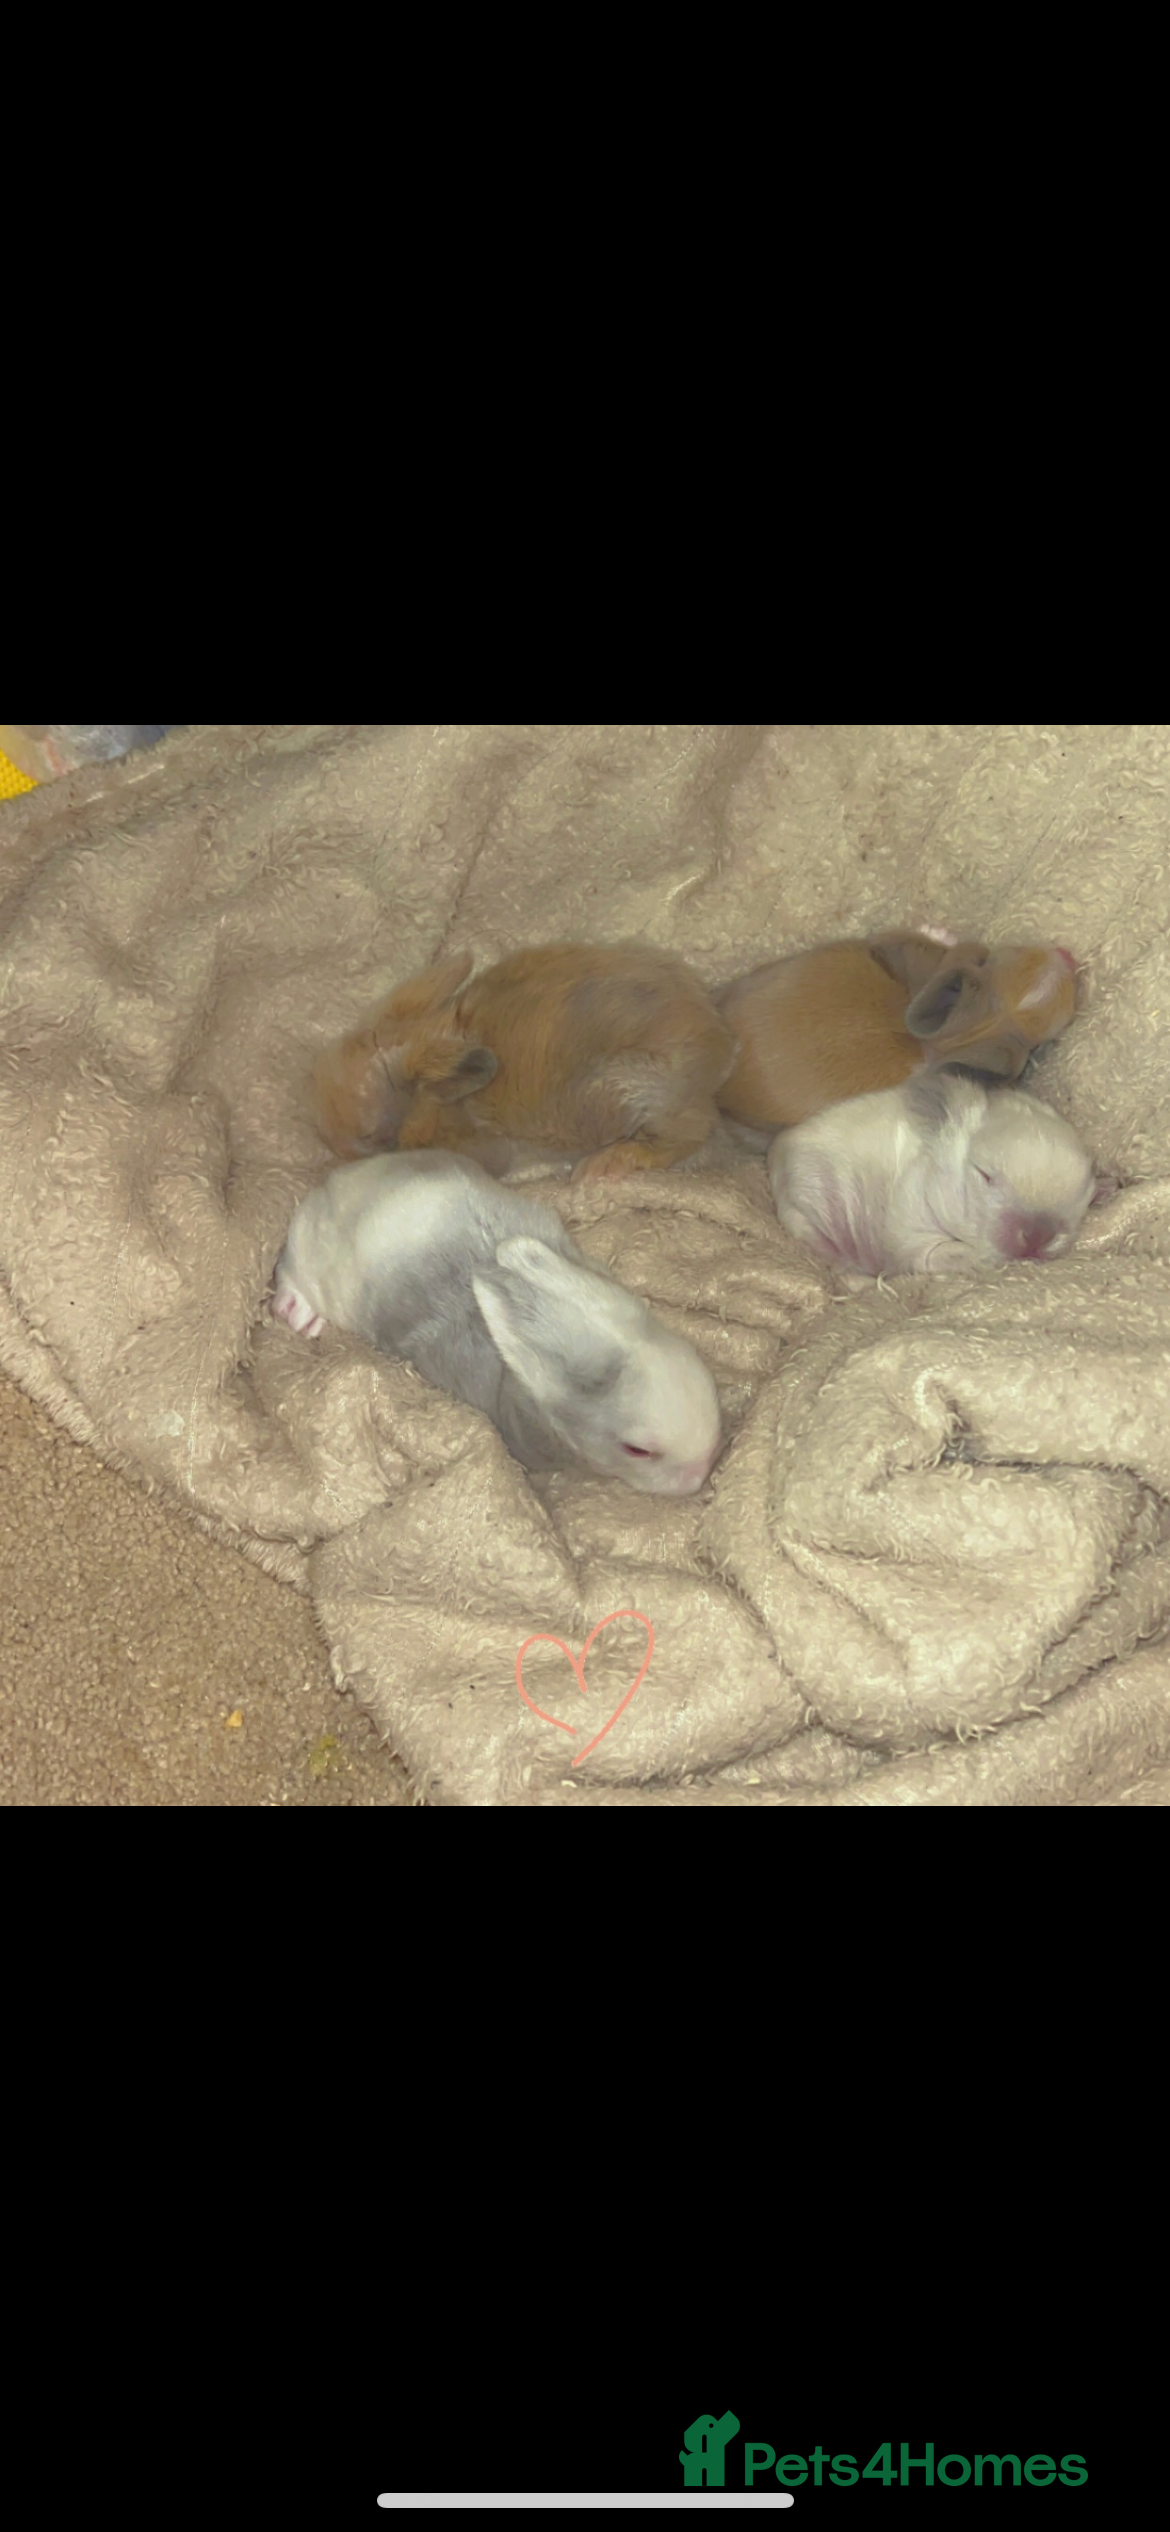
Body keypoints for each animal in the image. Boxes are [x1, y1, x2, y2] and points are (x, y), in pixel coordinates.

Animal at [270, 1148, 723, 1494]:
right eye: (637, 1450)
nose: (701, 1474)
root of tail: (333, 1182)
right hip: (313, 1262)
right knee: (291, 1275)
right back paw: (298, 1315)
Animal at [308, 941, 737, 1181]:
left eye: (372, 1135)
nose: (328, 1141)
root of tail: (720, 1048)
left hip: (634, 1096)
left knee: (689, 1136)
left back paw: (602, 1167)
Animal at [768, 1070, 1102, 1279]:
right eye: (985, 1175)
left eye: (1085, 1197)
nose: (1038, 1237)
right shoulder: (909, 1228)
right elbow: (935, 1252)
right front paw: (980, 1260)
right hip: (807, 1213)